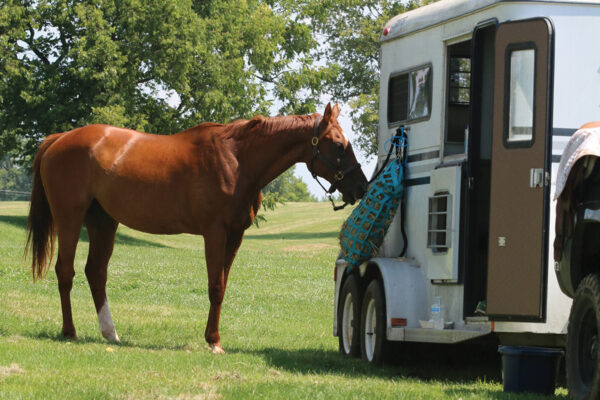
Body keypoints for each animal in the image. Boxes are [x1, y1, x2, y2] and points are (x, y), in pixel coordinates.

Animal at [27, 103, 366, 354]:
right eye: (338, 145)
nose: (361, 187)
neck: (238, 160)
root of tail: (59, 138)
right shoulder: (214, 232)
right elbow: (214, 286)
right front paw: (214, 342)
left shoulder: (235, 235)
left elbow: (222, 287)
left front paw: (213, 337)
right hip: (70, 218)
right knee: (65, 272)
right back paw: (69, 331)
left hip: (103, 221)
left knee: (95, 273)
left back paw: (110, 332)